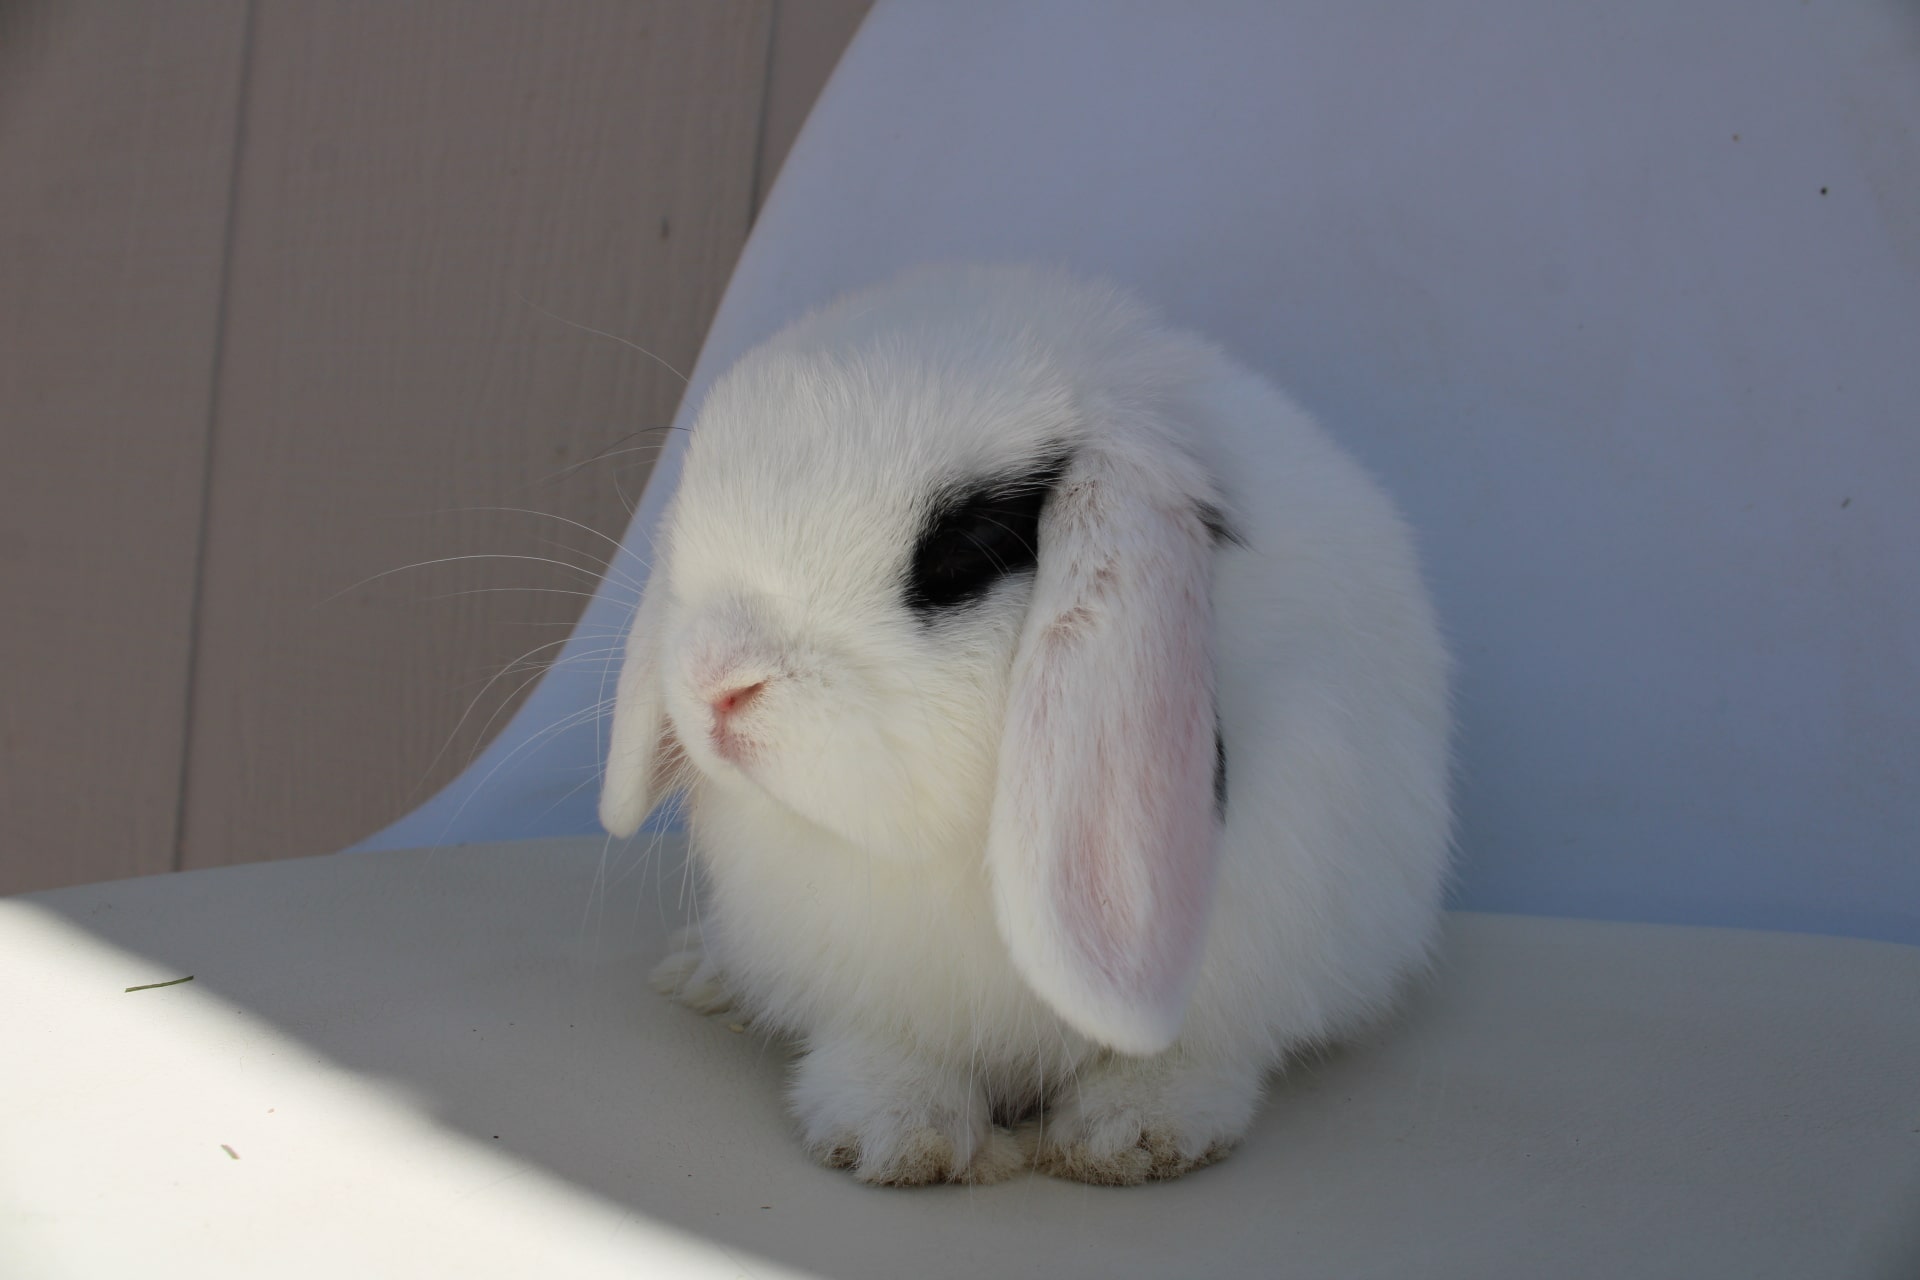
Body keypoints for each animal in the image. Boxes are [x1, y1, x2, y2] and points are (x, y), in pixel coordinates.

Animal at [600, 264, 1453, 1187]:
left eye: (960, 557)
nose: (716, 681)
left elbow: (1184, 1051)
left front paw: (1133, 1136)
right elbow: (886, 1047)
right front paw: (892, 1133)